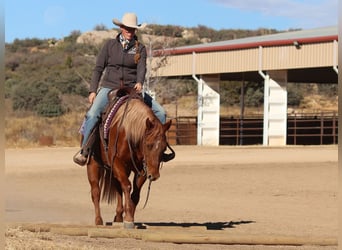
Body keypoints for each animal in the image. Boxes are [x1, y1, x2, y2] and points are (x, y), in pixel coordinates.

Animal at [85, 89, 174, 228]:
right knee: (96, 191)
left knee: (117, 187)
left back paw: (118, 217)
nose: (154, 175)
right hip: (93, 164)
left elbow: (135, 193)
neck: (128, 132)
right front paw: (128, 218)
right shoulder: (117, 161)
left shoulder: (143, 169)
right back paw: (99, 221)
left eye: (164, 148)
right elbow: (127, 186)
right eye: (148, 145)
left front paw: (129, 216)